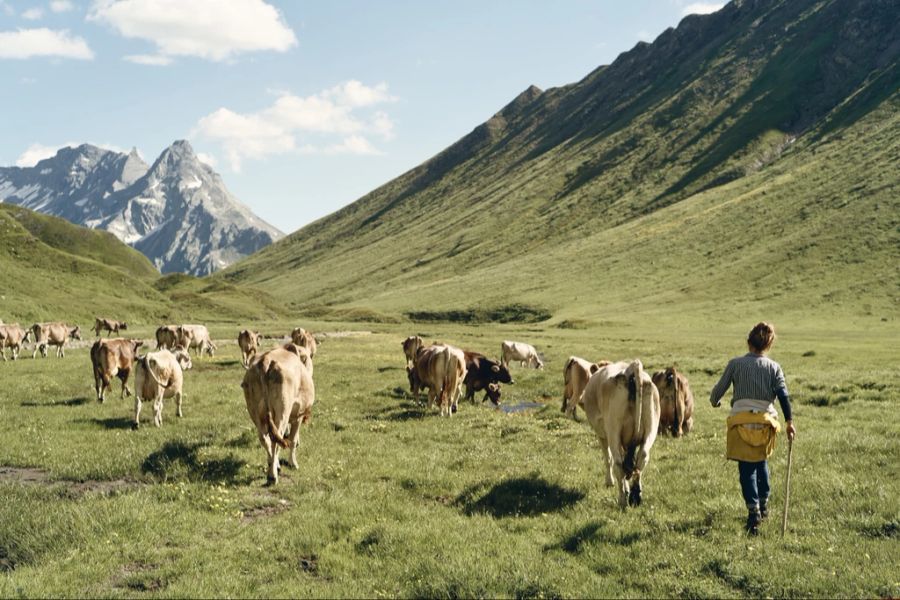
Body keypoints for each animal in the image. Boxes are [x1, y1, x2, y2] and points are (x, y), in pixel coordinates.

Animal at [243, 342, 316, 482]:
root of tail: (265, 360)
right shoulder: (297, 415)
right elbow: (292, 439)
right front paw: (293, 463)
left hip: (254, 412)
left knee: (265, 438)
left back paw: (273, 465)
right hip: (283, 411)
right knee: (276, 440)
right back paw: (273, 475)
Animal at [584, 358, 660, 508]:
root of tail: (630, 368)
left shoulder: (602, 435)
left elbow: (608, 459)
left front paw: (610, 482)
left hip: (613, 431)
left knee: (618, 464)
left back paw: (622, 500)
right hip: (651, 428)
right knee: (641, 458)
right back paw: (636, 496)